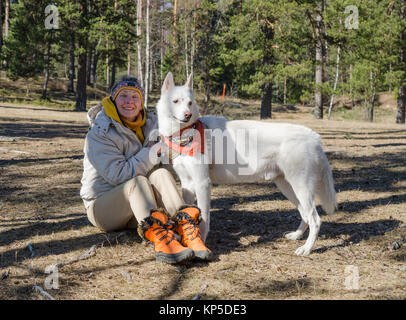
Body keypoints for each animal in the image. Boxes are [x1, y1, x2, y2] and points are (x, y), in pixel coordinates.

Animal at [155, 72, 336, 255]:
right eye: (175, 101)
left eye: (190, 103)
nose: (187, 115)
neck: (184, 136)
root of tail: (314, 136)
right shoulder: (187, 185)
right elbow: (185, 212)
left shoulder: (202, 184)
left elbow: (204, 218)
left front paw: (202, 242)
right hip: (288, 188)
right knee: (305, 215)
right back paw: (297, 236)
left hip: (301, 188)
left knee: (315, 219)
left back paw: (306, 248)